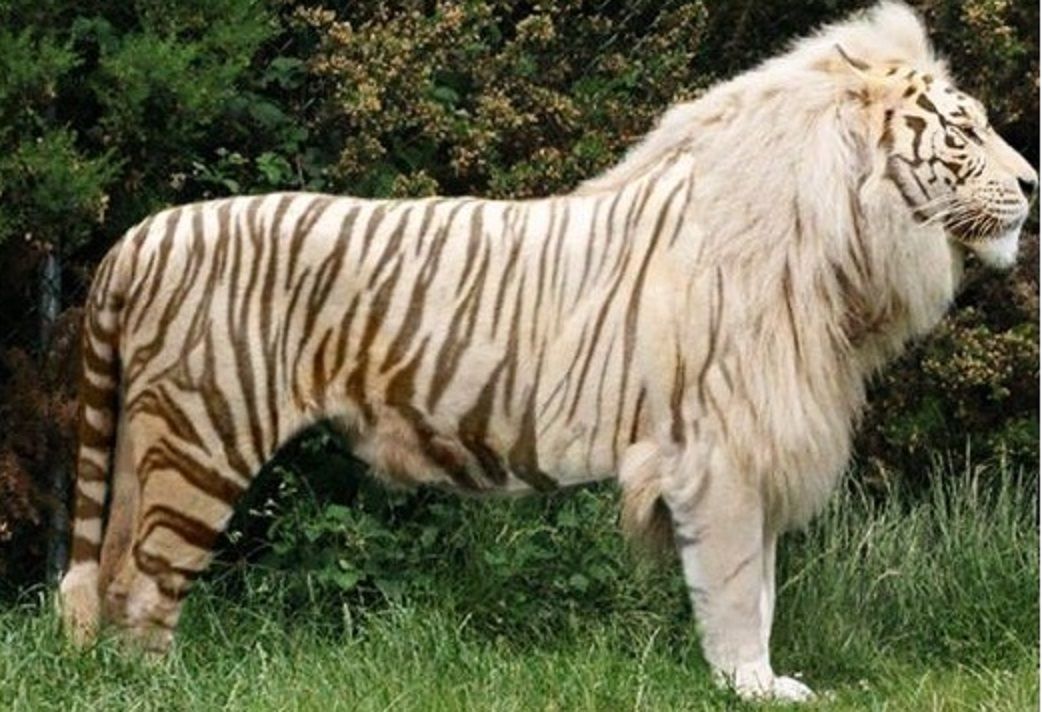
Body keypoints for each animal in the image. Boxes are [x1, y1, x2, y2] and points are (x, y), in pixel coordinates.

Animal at [59, 2, 1035, 702]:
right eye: (963, 133)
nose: (1031, 185)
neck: (850, 245)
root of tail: (138, 236)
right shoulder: (720, 452)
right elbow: (734, 586)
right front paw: (751, 687)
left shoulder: (756, 446)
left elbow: (758, 584)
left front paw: (760, 681)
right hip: (203, 437)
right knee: (144, 589)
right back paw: (159, 689)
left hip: (149, 446)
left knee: (108, 580)